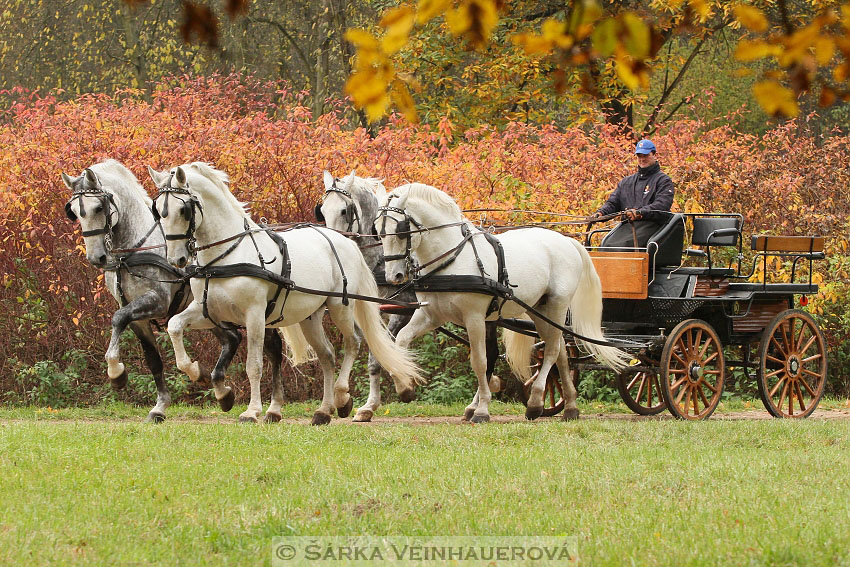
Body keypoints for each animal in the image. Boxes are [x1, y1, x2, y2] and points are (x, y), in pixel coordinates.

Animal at [151, 162, 422, 424]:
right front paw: (202, 377)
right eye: (158, 211)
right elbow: (174, 326)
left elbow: (254, 365)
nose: (176, 259)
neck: (226, 255)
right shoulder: (207, 311)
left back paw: (342, 396)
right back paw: (323, 411)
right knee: (327, 355)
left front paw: (252, 411)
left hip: (340, 306)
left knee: (352, 343)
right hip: (310, 316)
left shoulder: (255, 315)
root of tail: (344, 240)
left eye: (183, 209)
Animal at [374, 182, 628, 422]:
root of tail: (567, 242)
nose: (394, 276)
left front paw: (482, 410)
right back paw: (571, 406)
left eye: (400, 231)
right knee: (560, 353)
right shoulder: (431, 314)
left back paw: (535, 402)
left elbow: (480, 361)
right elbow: (401, 341)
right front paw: (405, 388)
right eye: (379, 232)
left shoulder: (474, 317)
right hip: (539, 309)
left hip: (556, 305)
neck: (452, 258)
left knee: (552, 350)